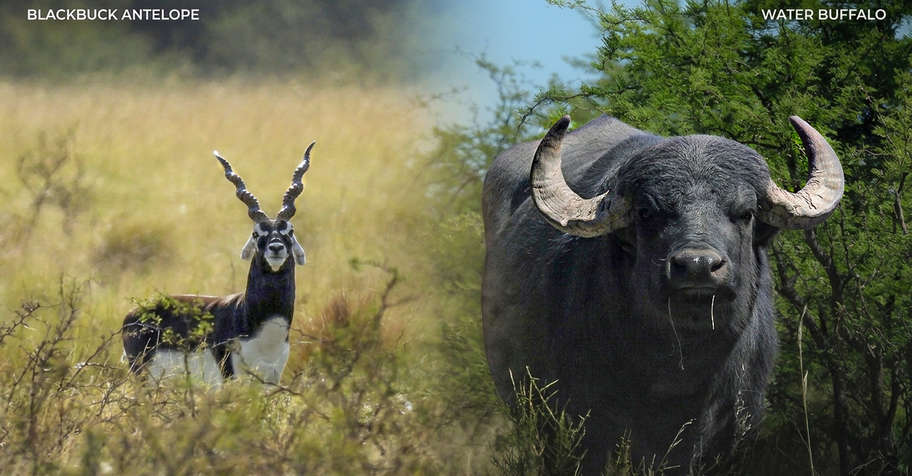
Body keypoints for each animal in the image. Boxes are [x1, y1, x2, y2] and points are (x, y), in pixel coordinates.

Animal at [481, 115, 843, 472]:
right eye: (646, 212)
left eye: (746, 212)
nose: (698, 266)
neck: (678, 370)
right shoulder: (579, 426)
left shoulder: (733, 434)